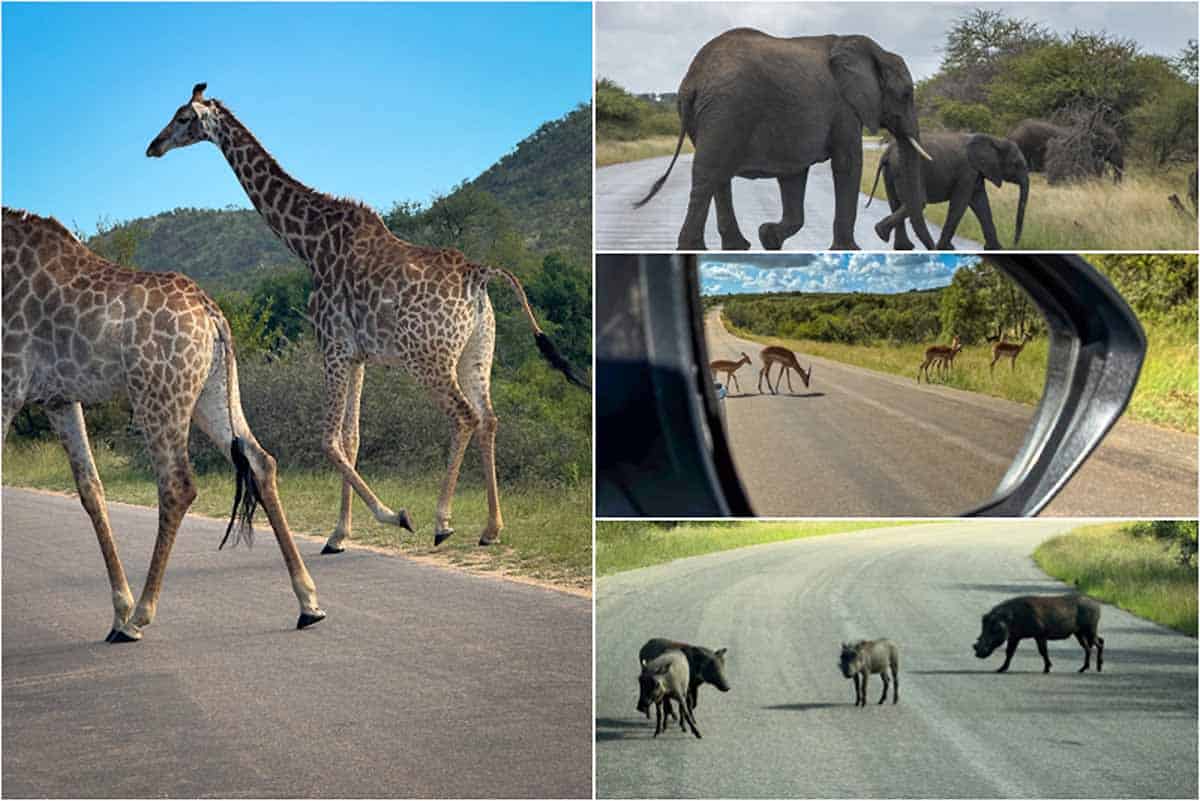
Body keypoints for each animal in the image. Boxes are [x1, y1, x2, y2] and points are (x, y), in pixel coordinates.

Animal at [2, 208, 326, 642]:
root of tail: (212, 314)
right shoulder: (57, 398)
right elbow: (90, 488)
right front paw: (117, 609)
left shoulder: (9, 383)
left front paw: (124, 613)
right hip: (212, 391)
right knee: (261, 461)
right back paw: (308, 603)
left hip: (159, 392)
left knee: (177, 485)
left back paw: (140, 616)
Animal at [147, 86, 588, 551]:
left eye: (182, 117)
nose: (153, 146)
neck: (310, 245)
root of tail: (479, 274)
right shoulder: (357, 355)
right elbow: (351, 438)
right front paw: (339, 534)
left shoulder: (333, 346)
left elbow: (328, 440)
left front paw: (394, 516)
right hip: (476, 350)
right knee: (488, 418)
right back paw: (491, 528)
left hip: (428, 357)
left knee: (464, 416)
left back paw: (442, 522)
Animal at [633, 28, 931, 250]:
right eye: (906, 94)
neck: (873, 50)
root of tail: (693, 78)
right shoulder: (845, 108)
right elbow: (847, 164)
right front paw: (848, 250)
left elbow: (793, 175)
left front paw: (769, 237)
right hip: (726, 110)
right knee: (708, 174)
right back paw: (695, 248)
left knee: (719, 175)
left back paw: (738, 246)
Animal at [868, 131, 1027, 250]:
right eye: (1016, 164)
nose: (1014, 244)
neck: (995, 140)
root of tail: (887, 152)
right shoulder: (967, 172)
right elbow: (960, 204)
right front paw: (945, 248)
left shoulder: (976, 173)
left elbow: (981, 204)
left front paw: (996, 248)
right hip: (903, 170)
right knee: (918, 202)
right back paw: (883, 233)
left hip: (891, 172)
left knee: (896, 203)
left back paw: (893, 241)